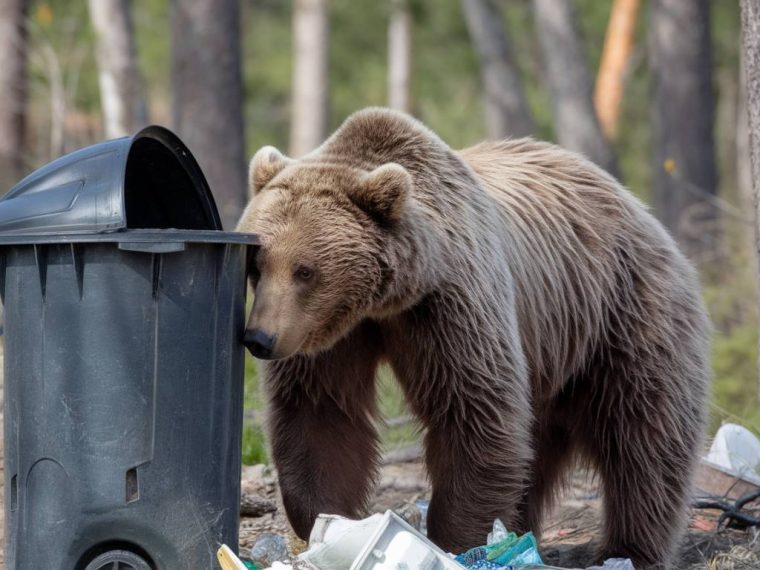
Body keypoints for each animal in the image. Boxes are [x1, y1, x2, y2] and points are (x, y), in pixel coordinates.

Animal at [238, 107, 712, 568]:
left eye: (304, 270)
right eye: (257, 263)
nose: (259, 338)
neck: (386, 300)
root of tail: (636, 205)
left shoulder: (450, 303)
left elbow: (472, 411)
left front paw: (454, 542)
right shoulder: (329, 336)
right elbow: (320, 414)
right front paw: (329, 522)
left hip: (621, 313)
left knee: (643, 439)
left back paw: (630, 549)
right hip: (551, 354)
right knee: (535, 447)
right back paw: (522, 530)